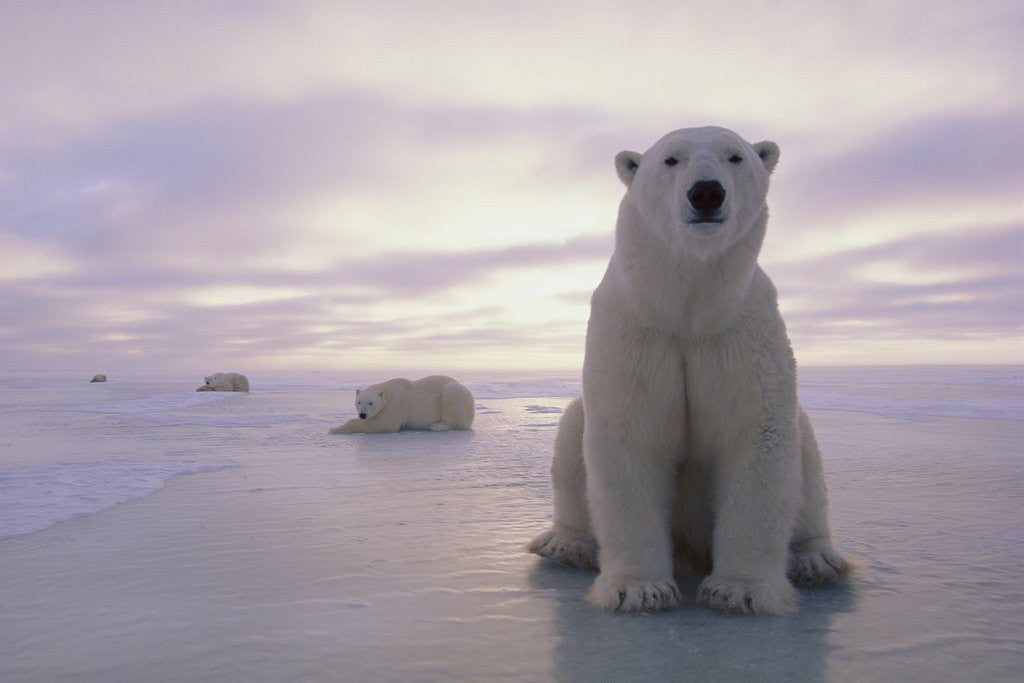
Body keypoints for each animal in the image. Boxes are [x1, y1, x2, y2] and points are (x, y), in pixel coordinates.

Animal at [329, 375, 475, 434]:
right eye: (358, 402)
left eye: (371, 402)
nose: (362, 415)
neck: (389, 391)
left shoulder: (396, 405)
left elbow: (382, 424)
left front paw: (335, 429)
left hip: (454, 394)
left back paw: (437, 425)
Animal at [528, 126, 848, 615]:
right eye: (671, 159)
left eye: (736, 156)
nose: (706, 193)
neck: (688, 315)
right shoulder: (637, 336)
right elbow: (630, 436)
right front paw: (640, 589)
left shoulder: (739, 338)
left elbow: (756, 436)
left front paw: (739, 591)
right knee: (570, 432)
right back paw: (566, 545)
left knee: (806, 453)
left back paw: (817, 560)